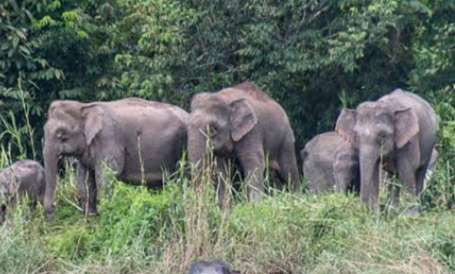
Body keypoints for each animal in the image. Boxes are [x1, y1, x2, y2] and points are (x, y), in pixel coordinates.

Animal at [43, 97, 189, 219]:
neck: (85, 106)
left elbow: (105, 177)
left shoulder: (108, 139)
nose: (53, 209)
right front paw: (91, 216)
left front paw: (106, 213)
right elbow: (84, 179)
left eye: (62, 135)